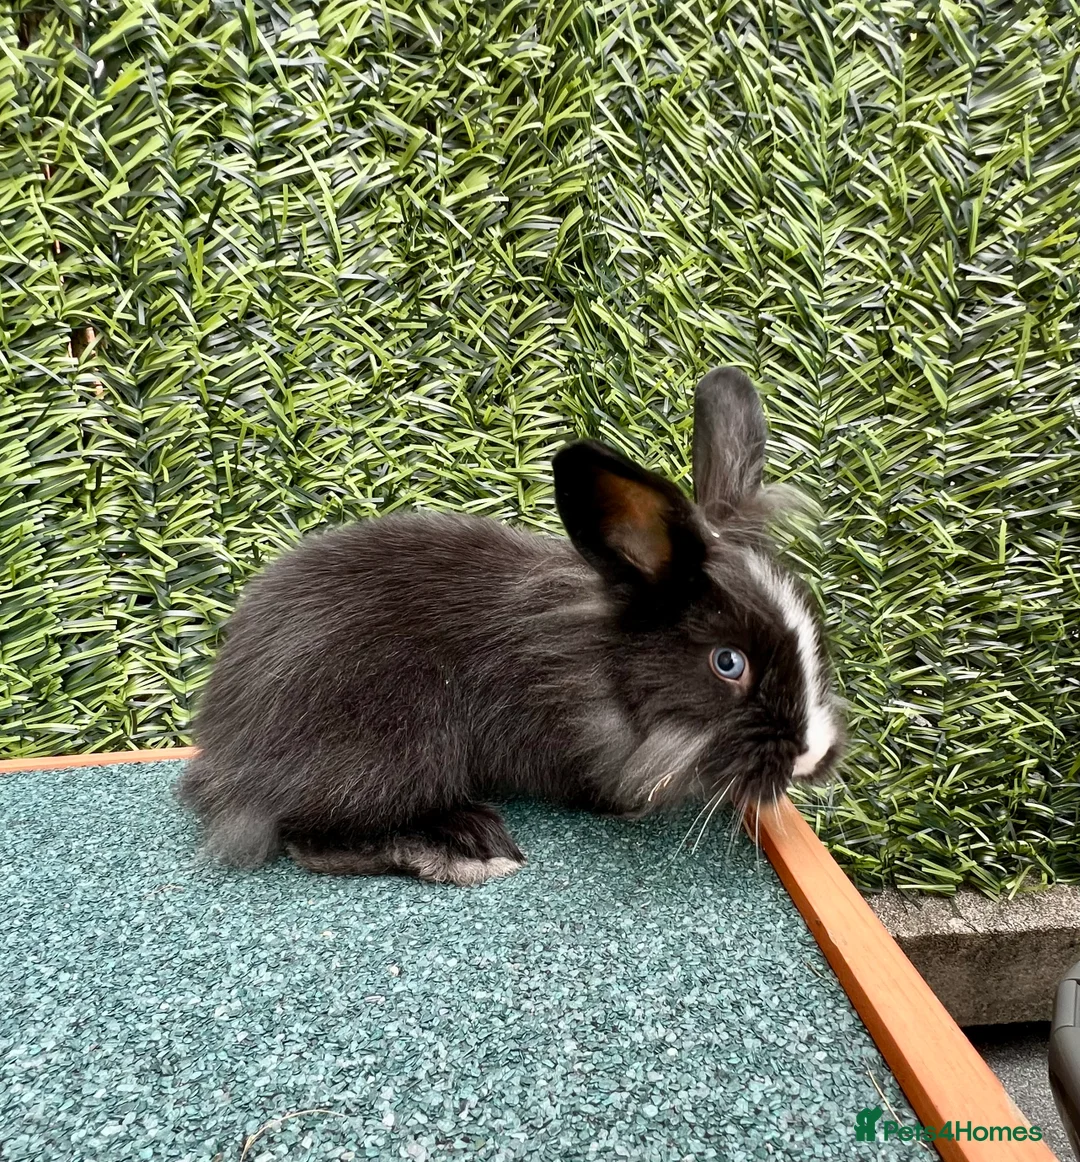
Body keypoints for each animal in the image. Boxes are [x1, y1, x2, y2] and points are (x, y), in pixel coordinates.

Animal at [177, 368, 844, 885]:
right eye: (728, 663)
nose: (813, 756)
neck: (600, 666)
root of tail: (225, 752)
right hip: (398, 748)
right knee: (311, 838)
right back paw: (462, 848)